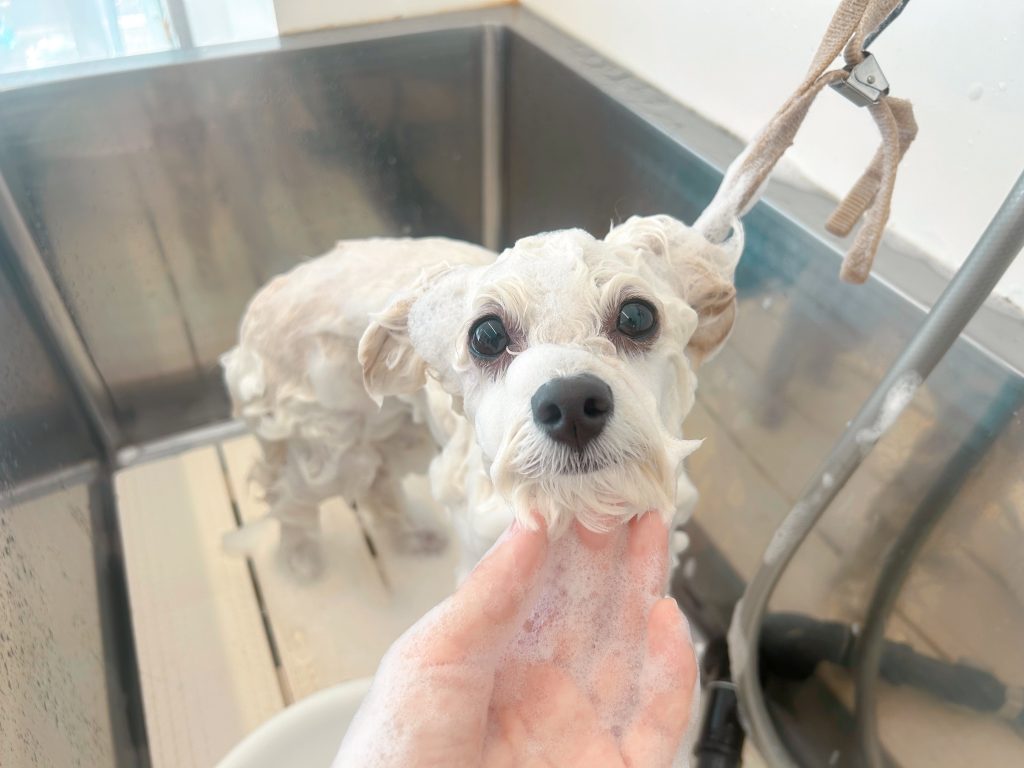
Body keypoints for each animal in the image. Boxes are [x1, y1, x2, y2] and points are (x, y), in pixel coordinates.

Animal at [224, 215, 739, 579]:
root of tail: (262, 301)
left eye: (637, 317)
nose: (572, 404)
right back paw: (302, 558)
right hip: (328, 442)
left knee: (378, 484)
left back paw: (411, 537)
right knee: (294, 498)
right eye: (487, 335)